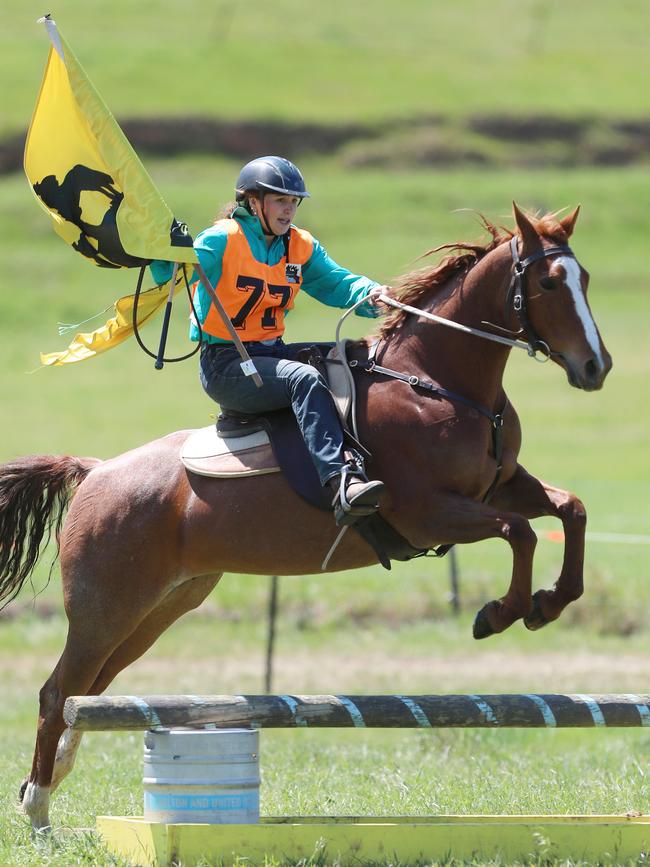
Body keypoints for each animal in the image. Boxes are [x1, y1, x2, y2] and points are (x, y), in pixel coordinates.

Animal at [0, 200, 612, 832]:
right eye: (548, 283)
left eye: (586, 279)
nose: (596, 366)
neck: (437, 384)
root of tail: (96, 471)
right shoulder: (430, 513)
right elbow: (521, 532)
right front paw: (501, 612)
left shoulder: (502, 486)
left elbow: (570, 511)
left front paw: (549, 602)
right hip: (105, 609)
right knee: (58, 692)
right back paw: (38, 806)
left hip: (162, 605)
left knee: (90, 690)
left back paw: (49, 779)